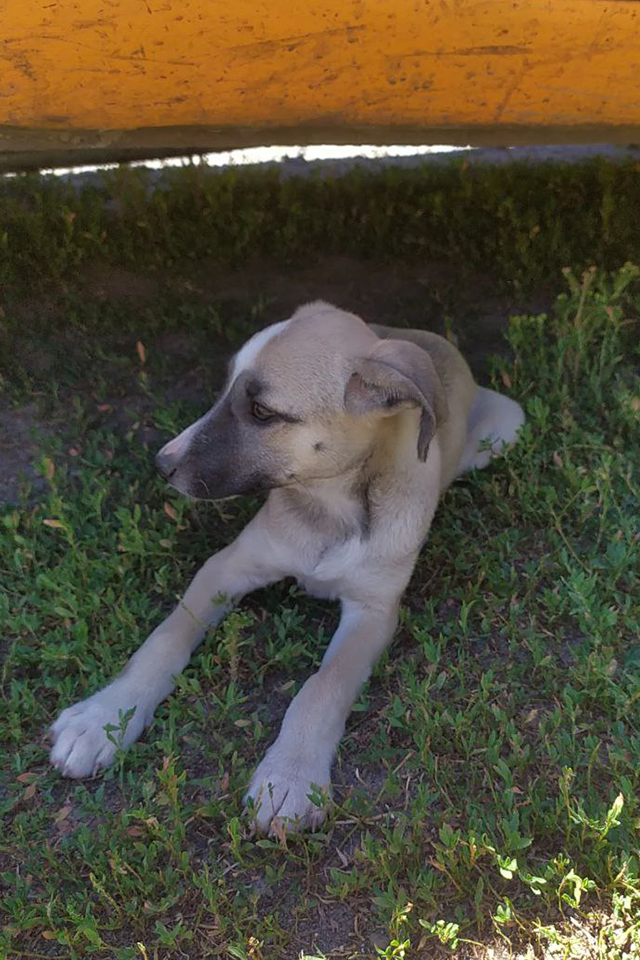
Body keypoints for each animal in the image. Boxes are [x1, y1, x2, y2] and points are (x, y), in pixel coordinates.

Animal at [49, 301, 524, 834]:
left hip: (507, 427)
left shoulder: (373, 610)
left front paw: (289, 776)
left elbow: (322, 686)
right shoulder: (227, 567)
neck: (328, 508)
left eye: (262, 412)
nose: (162, 464)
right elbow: (165, 638)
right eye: (224, 390)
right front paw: (105, 716)